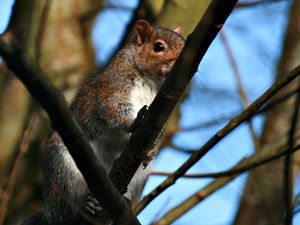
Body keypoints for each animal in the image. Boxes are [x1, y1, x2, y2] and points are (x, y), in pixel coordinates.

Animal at [21, 19, 184, 225]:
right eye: (159, 47)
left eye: (185, 44)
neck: (152, 80)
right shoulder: (113, 86)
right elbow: (111, 109)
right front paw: (134, 122)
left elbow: (159, 130)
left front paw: (152, 150)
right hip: (63, 171)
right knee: (67, 209)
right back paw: (85, 205)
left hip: (138, 177)